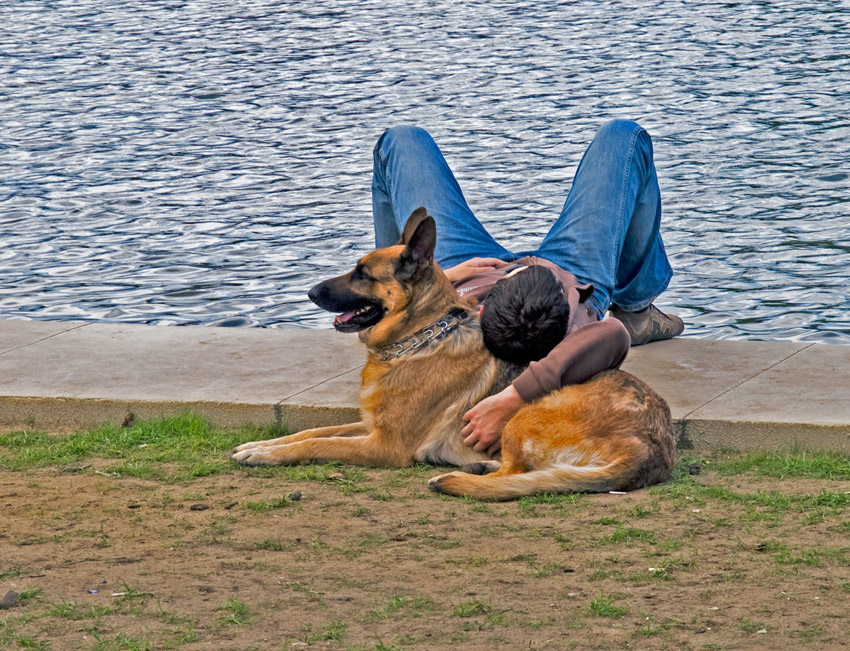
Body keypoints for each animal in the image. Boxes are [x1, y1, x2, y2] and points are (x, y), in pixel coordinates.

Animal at [232, 209, 676, 500]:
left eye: (362, 273)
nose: (309, 293)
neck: (419, 338)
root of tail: (653, 446)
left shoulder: (384, 446)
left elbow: (316, 445)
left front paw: (267, 454)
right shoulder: (370, 427)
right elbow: (310, 433)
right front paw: (262, 445)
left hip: (524, 415)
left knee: (517, 473)